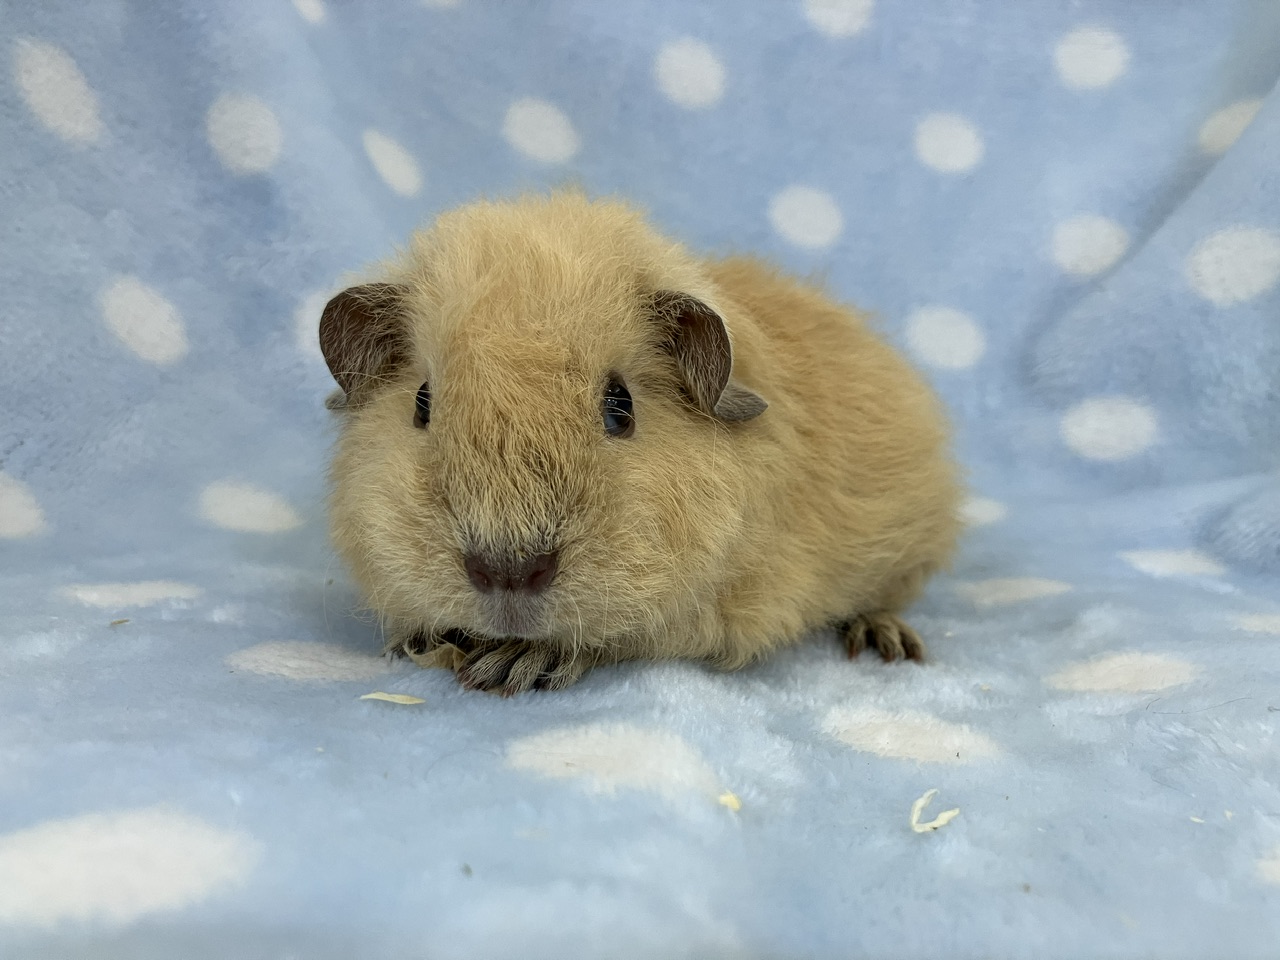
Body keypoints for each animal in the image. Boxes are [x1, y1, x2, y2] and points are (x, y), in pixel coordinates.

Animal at [319, 190, 963, 695]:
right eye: (422, 403)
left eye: (620, 407)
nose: (508, 572)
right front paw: (421, 643)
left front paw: (511, 664)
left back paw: (886, 642)